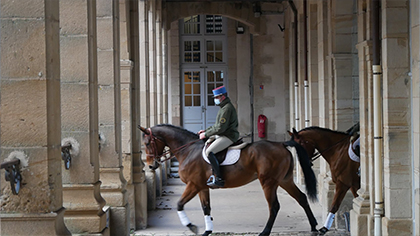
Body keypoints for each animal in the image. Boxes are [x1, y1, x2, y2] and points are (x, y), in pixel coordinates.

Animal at [138, 124, 318, 235]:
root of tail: (281, 144)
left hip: (269, 182)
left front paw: (192, 227)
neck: (188, 150)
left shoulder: (193, 185)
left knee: (274, 206)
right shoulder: (202, 186)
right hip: (284, 180)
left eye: (147, 143)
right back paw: (315, 227)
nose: (151, 166)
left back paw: (265, 232)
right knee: (302, 198)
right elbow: (206, 208)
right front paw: (207, 231)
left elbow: (180, 204)